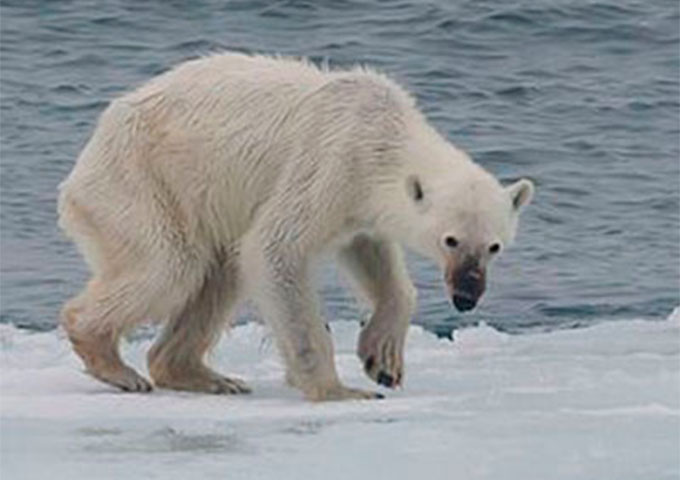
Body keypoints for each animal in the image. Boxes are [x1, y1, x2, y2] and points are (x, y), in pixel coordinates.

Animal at [58, 51, 532, 402]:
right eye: (450, 240)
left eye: (494, 246)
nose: (467, 295)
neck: (382, 134)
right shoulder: (330, 163)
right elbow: (275, 250)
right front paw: (339, 390)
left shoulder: (359, 204)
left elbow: (373, 255)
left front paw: (382, 360)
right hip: (142, 181)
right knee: (171, 265)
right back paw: (114, 362)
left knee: (219, 273)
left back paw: (206, 376)